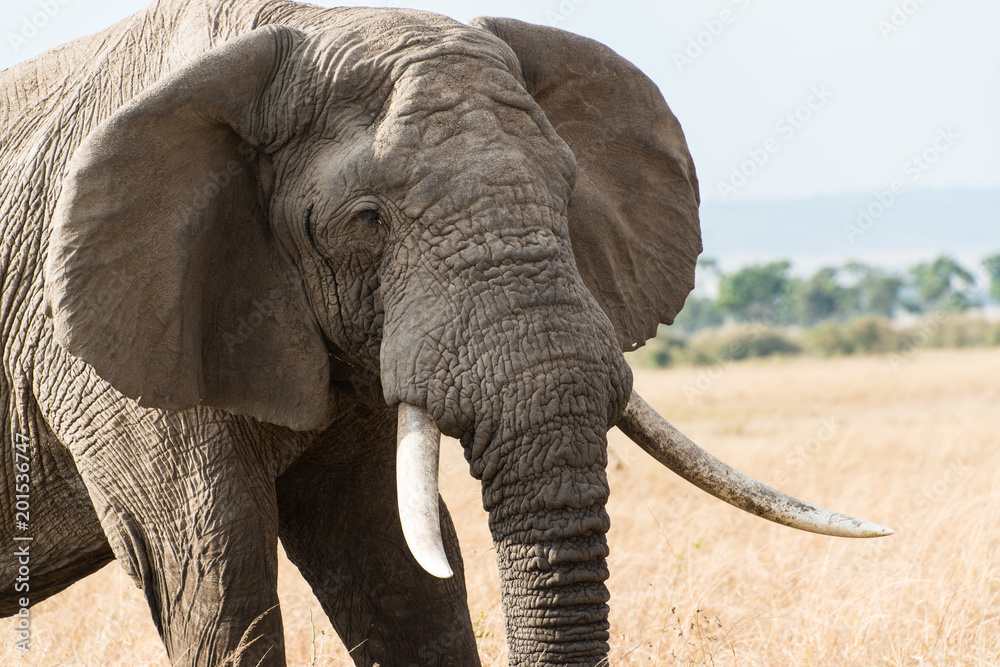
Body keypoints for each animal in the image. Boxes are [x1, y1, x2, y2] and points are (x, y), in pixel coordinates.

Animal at [0, 1, 891, 664]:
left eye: (568, 189)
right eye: (365, 220)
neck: (304, 27)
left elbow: (393, 564)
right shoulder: (102, 338)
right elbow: (211, 567)